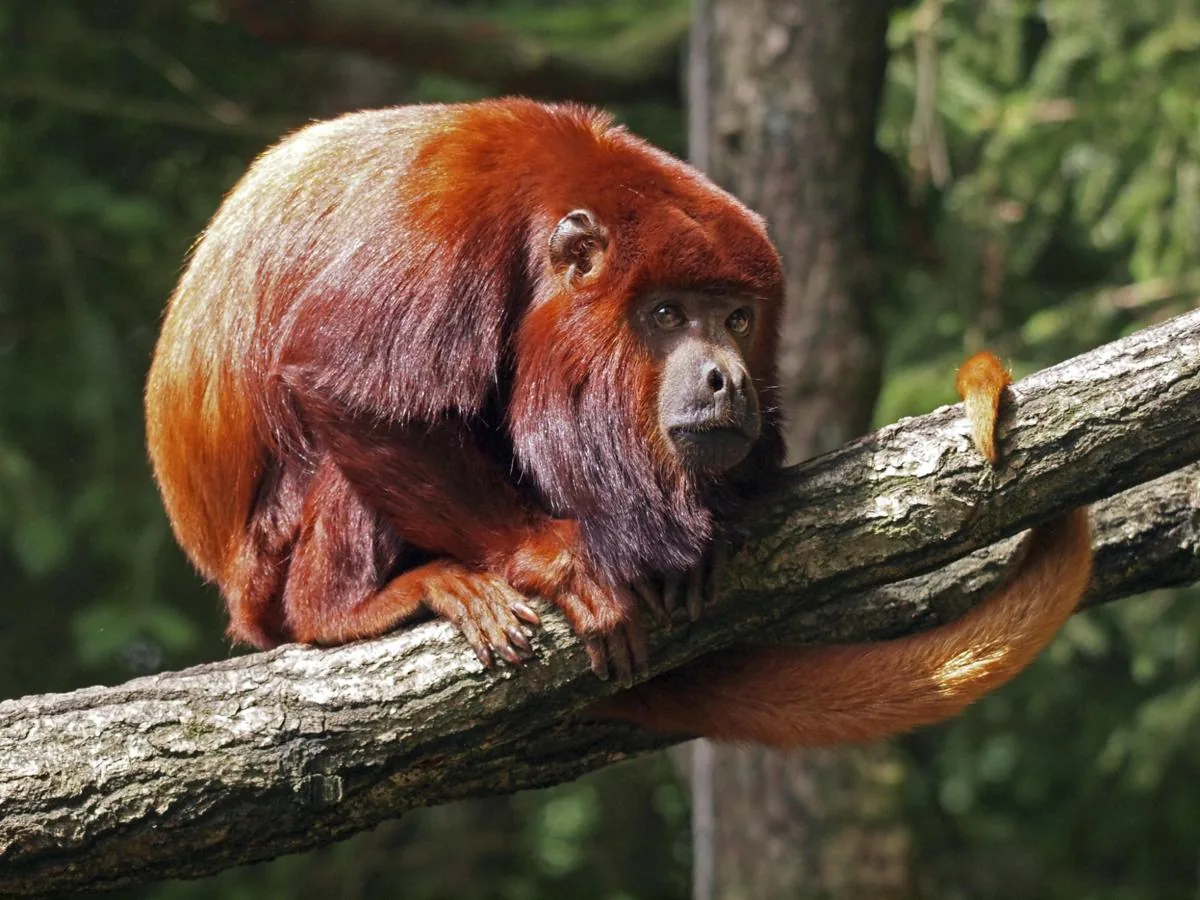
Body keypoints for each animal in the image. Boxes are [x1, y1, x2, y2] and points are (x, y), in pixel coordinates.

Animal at [145, 98, 1090, 746]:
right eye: (666, 314)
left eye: (737, 318)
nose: (725, 377)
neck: (535, 212)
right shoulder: (442, 230)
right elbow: (345, 390)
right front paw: (558, 562)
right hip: (271, 561)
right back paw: (350, 610)